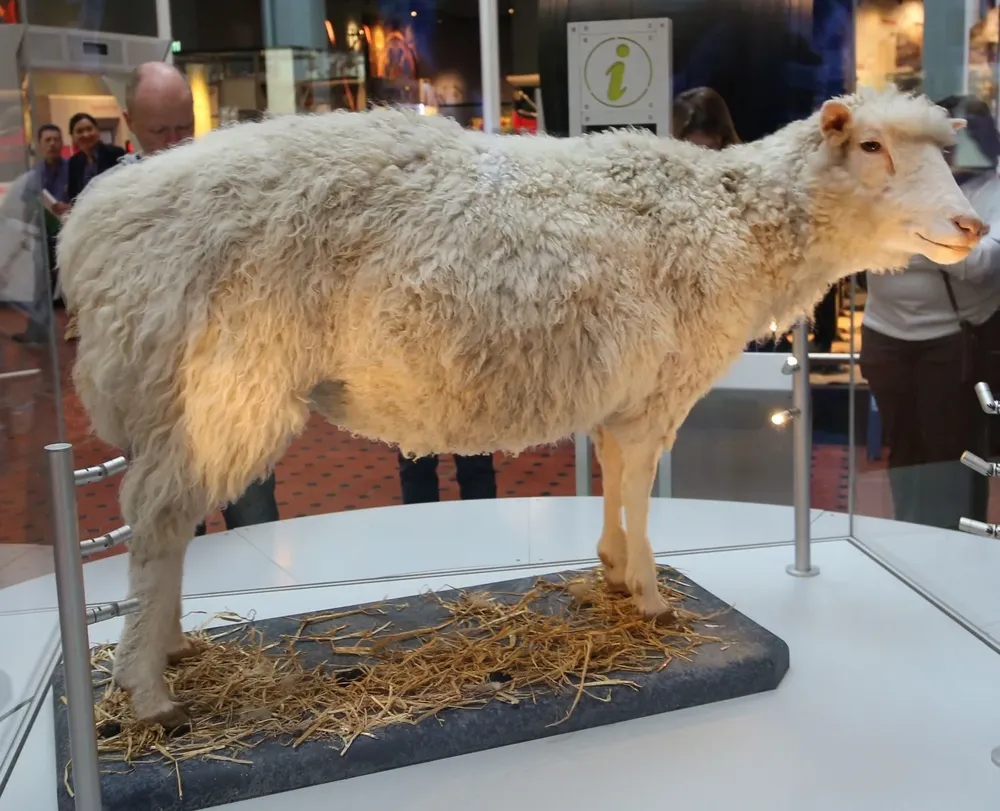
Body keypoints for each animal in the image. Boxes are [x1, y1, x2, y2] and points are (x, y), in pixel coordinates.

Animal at [57, 85, 985, 727]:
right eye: (871, 145)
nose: (972, 226)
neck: (733, 223)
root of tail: (92, 224)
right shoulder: (659, 387)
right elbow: (639, 485)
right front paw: (649, 594)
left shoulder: (626, 390)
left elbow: (612, 474)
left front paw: (610, 568)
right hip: (220, 385)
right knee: (159, 523)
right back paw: (147, 689)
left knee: (164, 527)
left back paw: (171, 644)